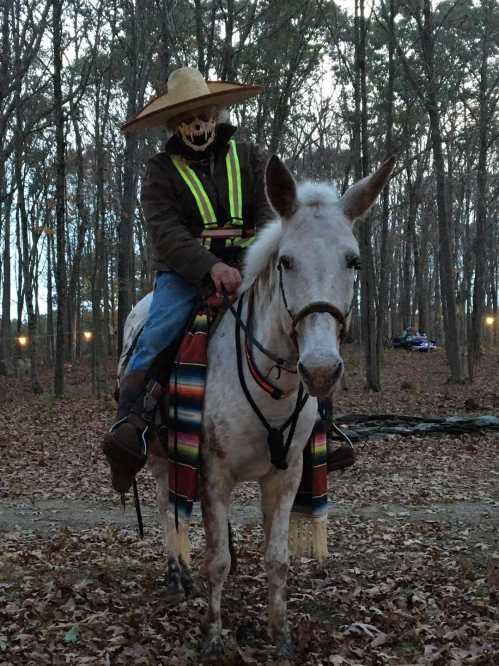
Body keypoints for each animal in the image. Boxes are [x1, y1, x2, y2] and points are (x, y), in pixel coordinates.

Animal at [128, 153, 394, 656]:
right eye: (286, 261)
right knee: (168, 506)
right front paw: (213, 636)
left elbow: (276, 559)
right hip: (160, 455)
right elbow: (216, 559)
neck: (270, 383)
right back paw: (177, 574)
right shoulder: (213, 474)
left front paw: (281, 634)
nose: (321, 369)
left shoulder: (285, 479)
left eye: (353, 261)